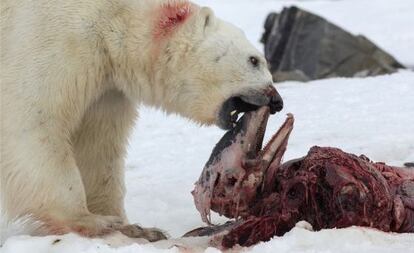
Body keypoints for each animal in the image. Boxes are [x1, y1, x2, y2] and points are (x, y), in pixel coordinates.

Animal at [0, 0, 284, 240]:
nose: (277, 101)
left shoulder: (107, 87)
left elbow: (97, 145)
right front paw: (91, 220)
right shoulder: (50, 37)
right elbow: (34, 121)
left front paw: (135, 228)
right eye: (254, 59)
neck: (112, 16)